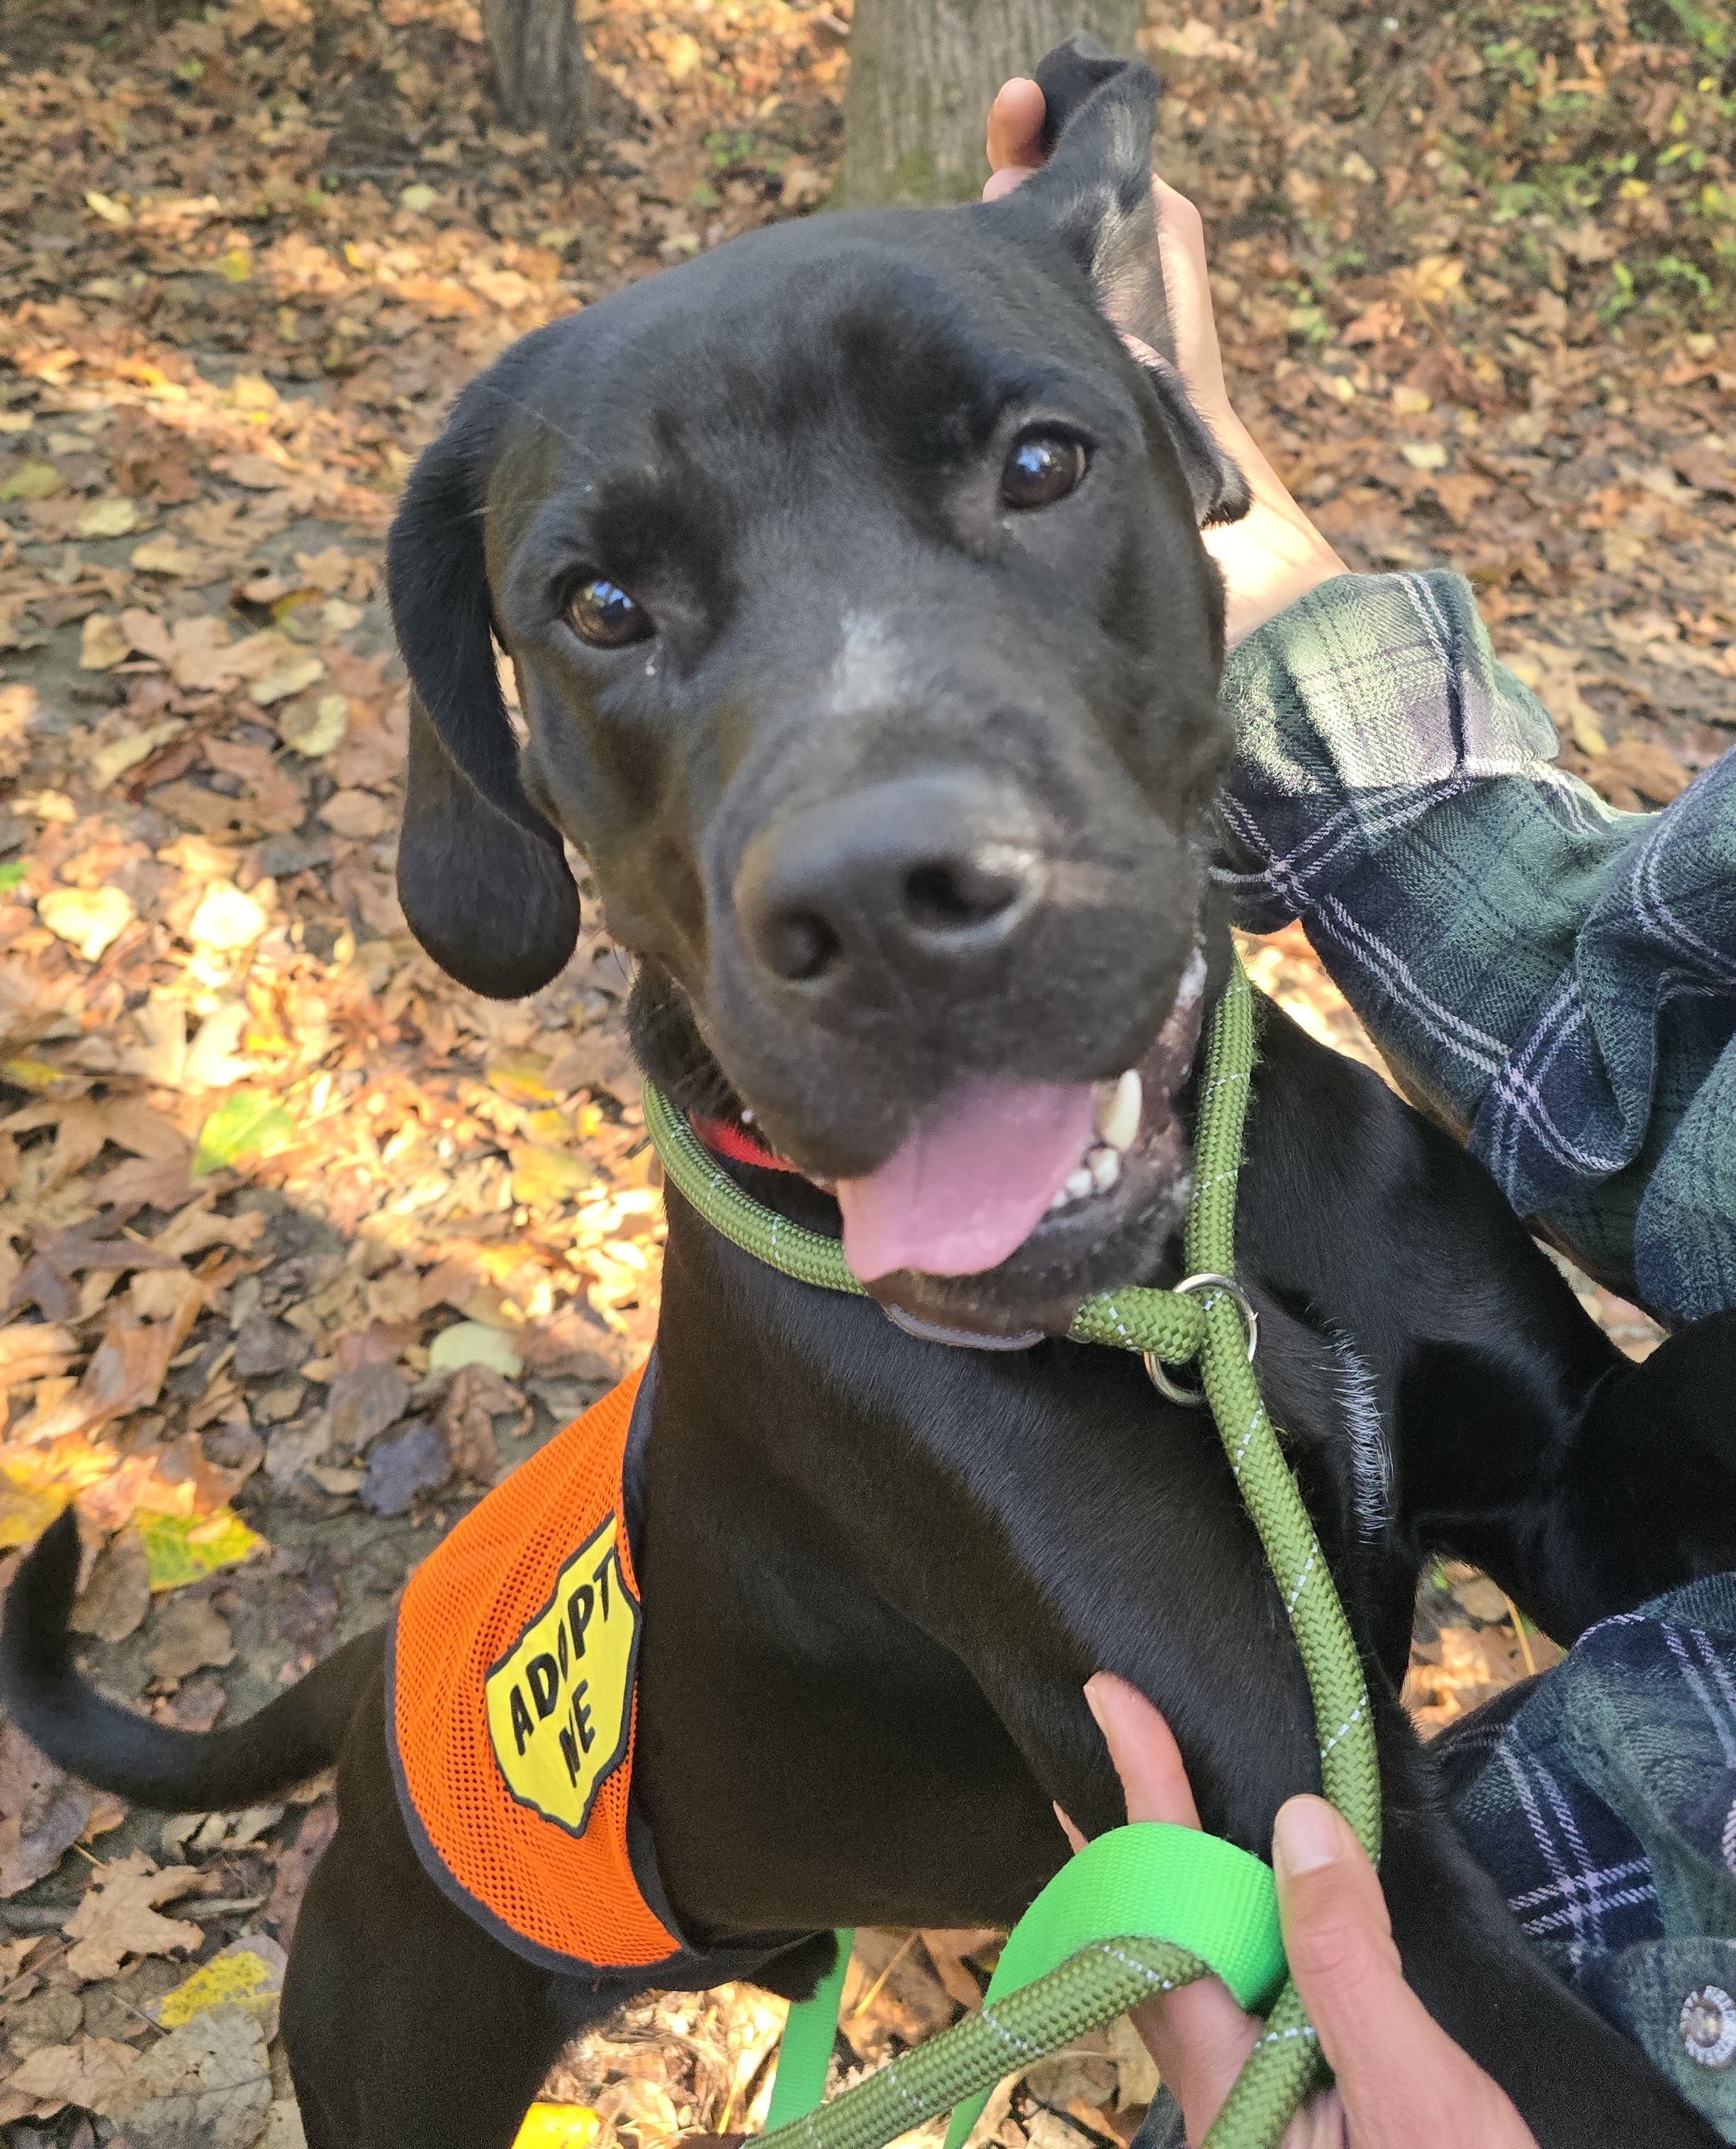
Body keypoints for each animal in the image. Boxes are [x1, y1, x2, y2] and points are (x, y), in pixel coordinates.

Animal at [3, 46, 1736, 2149]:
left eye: (1040, 466)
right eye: (599, 604)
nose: (886, 903)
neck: (1204, 1280)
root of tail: (360, 1678)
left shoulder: (1564, 1487)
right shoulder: (1324, 1834)